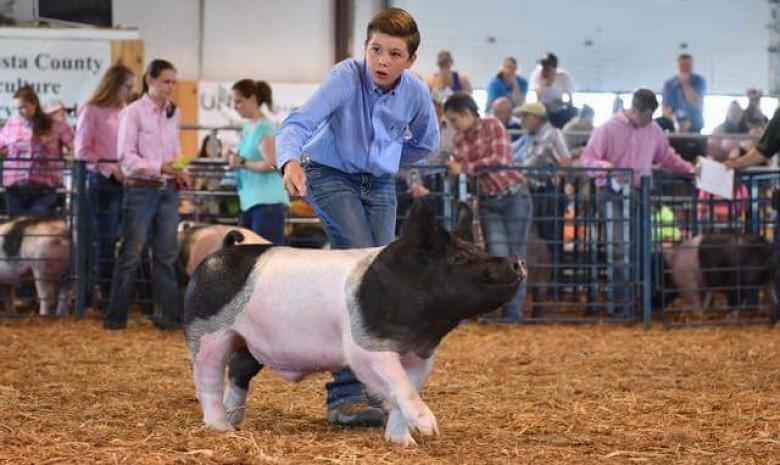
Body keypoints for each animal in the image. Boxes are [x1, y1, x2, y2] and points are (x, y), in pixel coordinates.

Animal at [183, 200, 524, 446]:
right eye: (459, 260)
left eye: (479, 250)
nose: (516, 260)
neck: (424, 328)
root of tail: (217, 255)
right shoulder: (367, 348)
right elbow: (400, 385)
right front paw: (429, 429)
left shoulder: (421, 357)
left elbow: (404, 390)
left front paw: (404, 442)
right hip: (208, 333)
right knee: (206, 379)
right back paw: (221, 428)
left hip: (249, 343)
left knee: (238, 373)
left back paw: (234, 420)